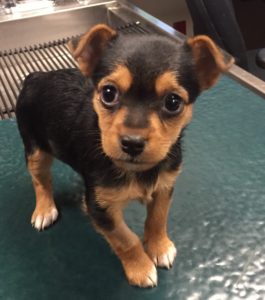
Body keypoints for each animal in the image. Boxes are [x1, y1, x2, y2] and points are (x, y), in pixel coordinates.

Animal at [15, 24, 232, 288]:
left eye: (173, 102)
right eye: (109, 93)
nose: (132, 143)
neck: (138, 171)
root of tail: (35, 77)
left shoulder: (164, 186)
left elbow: (158, 218)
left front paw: (159, 246)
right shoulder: (101, 208)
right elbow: (125, 239)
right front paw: (140, 268)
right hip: (35, 148)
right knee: (40, 180)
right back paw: (45, 209)